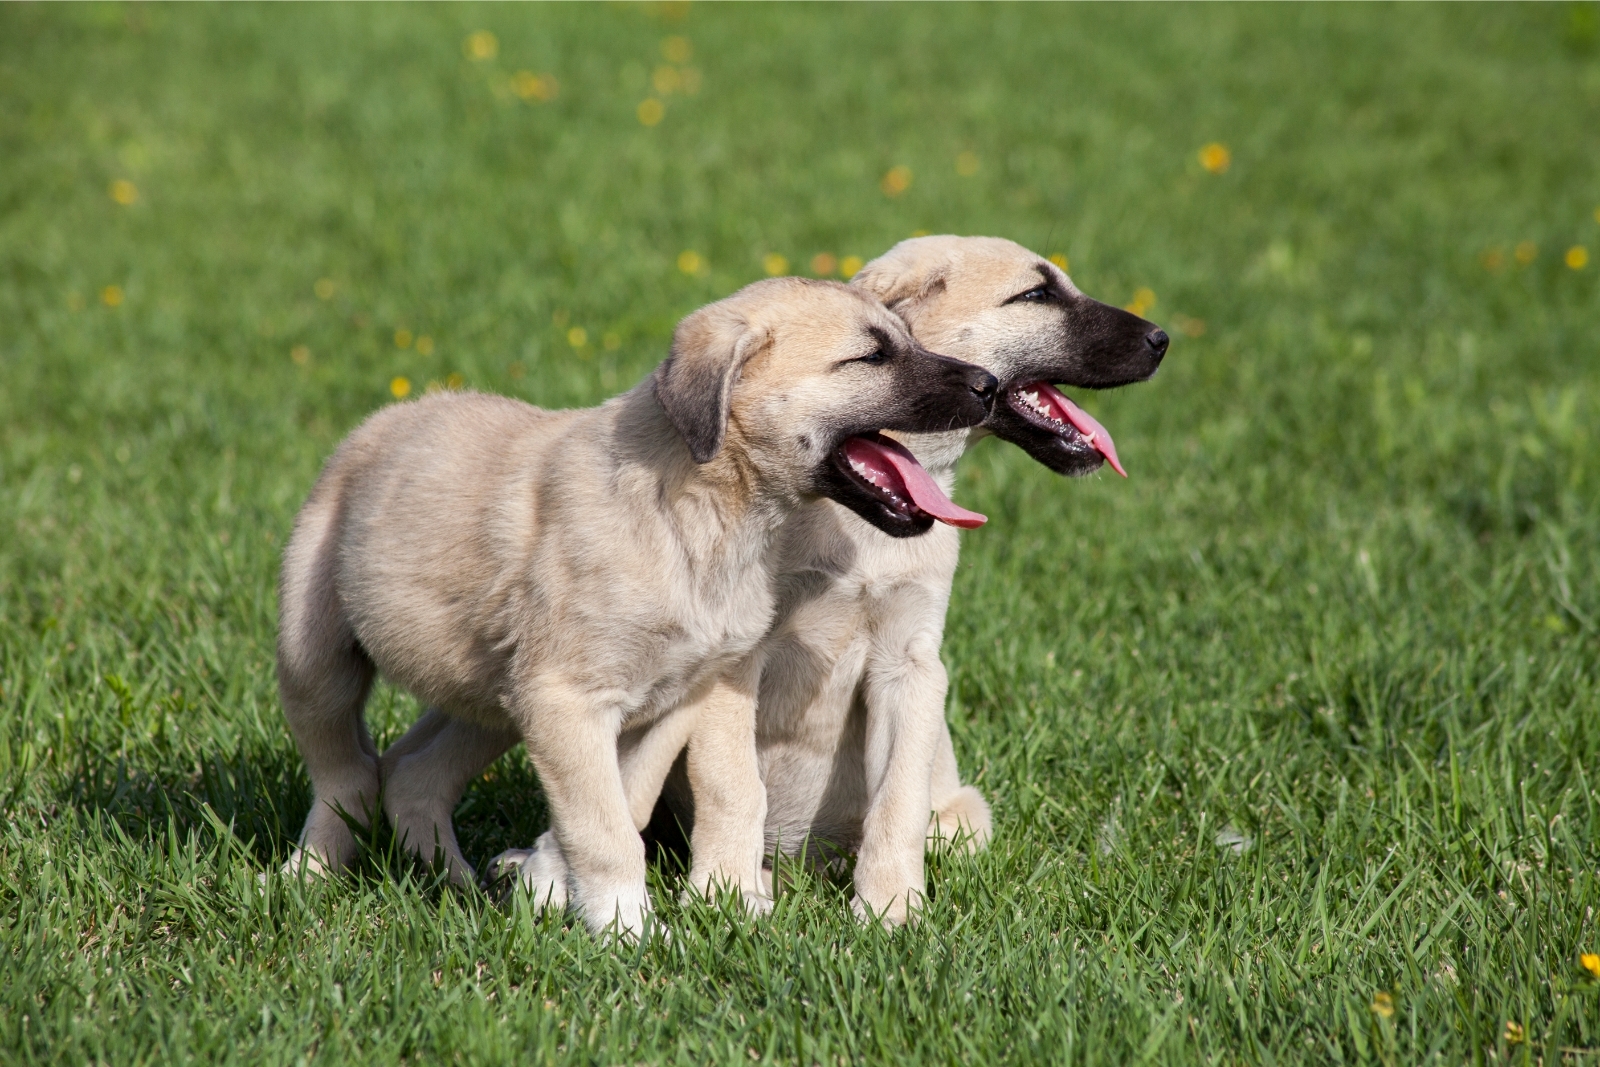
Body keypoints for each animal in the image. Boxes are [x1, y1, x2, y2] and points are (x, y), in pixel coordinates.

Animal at [280, 278, 992, 934]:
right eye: (869, 357)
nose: (986, 385)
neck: (701, 515)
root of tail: (383, 420)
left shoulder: (667, 701)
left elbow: (623, 805)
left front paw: (569, 900)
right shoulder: (566, 698)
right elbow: (604, 828)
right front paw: (629, 932)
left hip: (490, 692)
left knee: (413, 771)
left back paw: (454, 882)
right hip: (316, 658)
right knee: (345, 774)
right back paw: (303, 879)